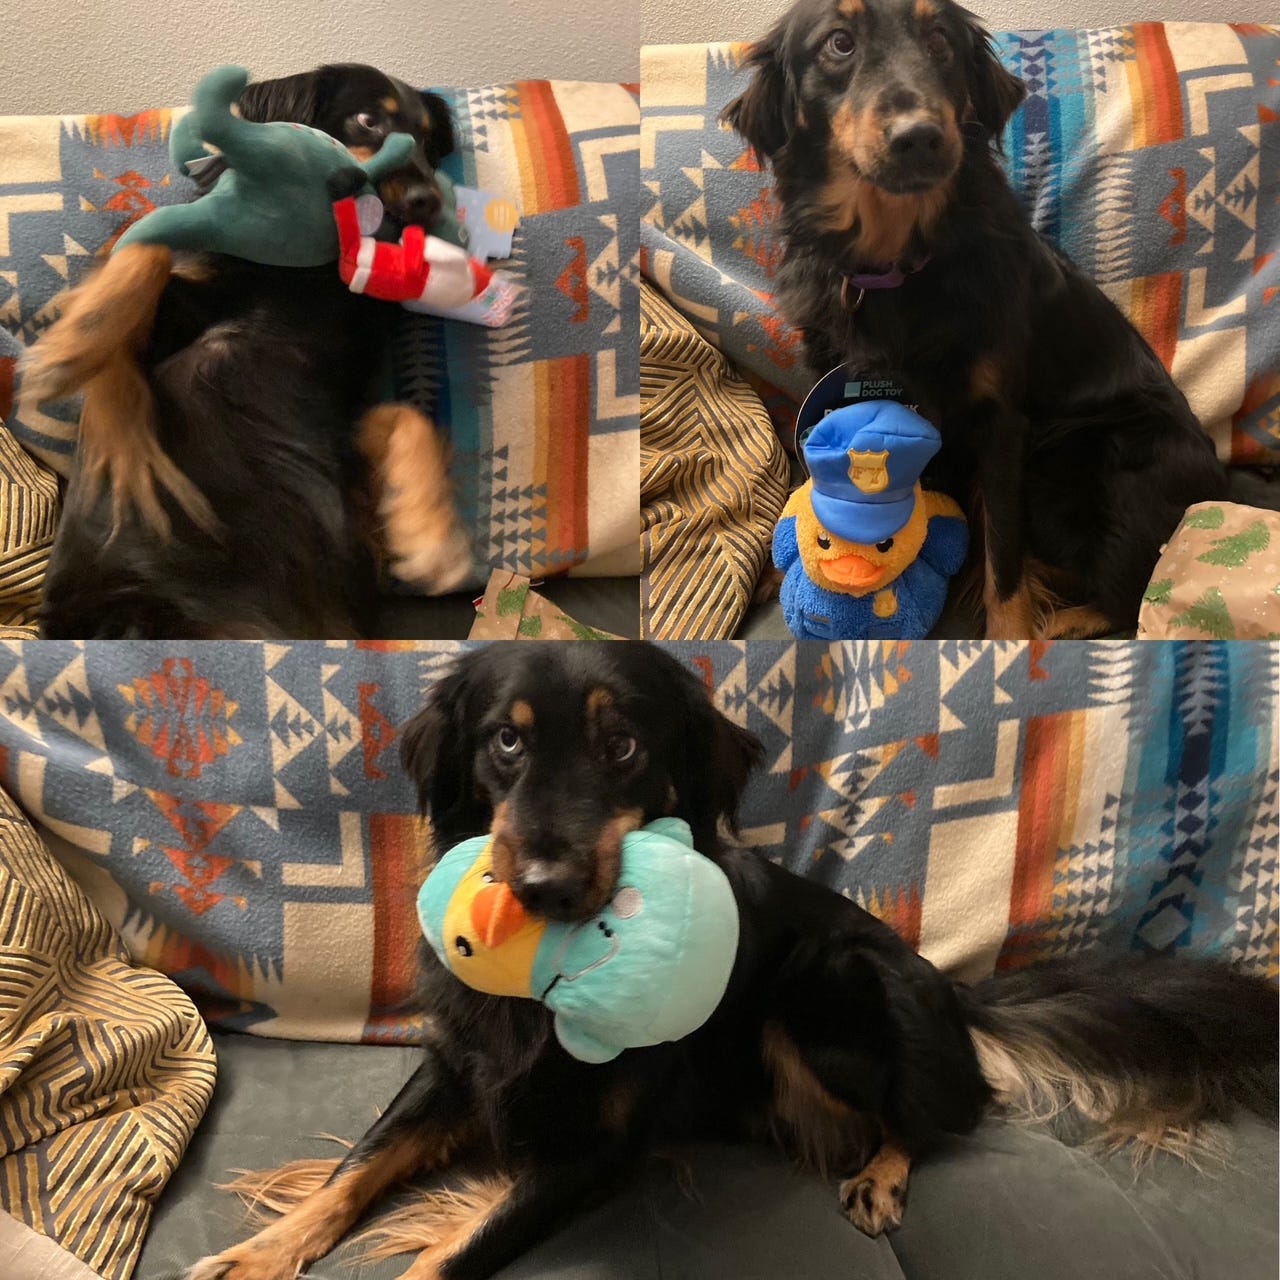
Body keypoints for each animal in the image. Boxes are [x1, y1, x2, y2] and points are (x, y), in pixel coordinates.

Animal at [22, 62, 473, 637]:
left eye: (428, 142)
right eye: (368, 120)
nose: (428, 201)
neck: (312, 275)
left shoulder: (335, 420)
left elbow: (407, 417)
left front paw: (429, 535)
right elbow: (149, 247)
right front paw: (78, 341)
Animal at [185, 645, 1274, 1280]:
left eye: (622, 745)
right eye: (504, 742)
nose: (539, 886)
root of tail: (948, 988)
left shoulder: (595, 1151)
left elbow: (454, 1248)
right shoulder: (457, 1067)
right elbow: (355, 1168)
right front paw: (255, 1252)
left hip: (826, 985)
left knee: (938, 1115)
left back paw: (882, 1173)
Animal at [727, 0, 1274, 640]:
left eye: (941, 40)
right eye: (839, 43)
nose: (919, 138)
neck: (896, 265)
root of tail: (1220, 482)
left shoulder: (1003, 425)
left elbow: (1004, 555)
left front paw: (1009, 638)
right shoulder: (830, 386)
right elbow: (813, 479)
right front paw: (775, 560)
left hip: (1069, 462)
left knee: (1126, 593)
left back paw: (1056, 623)